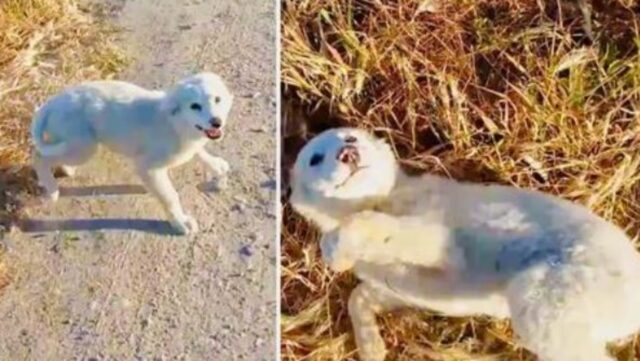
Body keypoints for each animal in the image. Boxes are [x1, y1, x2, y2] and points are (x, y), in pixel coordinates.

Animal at [30, 72, 234, 233]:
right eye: (195, 106)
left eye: (217, 99)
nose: (217, 122)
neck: (175, 123)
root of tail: (52, 102)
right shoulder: (148, 167)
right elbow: (170, 196)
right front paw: (180, 222)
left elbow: (202, 153)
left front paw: (218, 170)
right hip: (84, 148)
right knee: (39, 157)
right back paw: (52, 190)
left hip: (73, 144)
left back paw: (66, 169)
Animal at [292, 127, 640, 360]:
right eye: (315, 158)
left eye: (351, 138)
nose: (349, 154)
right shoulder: (398, 287)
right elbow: (359, 296)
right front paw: (371, 347)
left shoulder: (440, 240)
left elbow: (373, 225)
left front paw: (335, 249)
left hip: (545, 295)